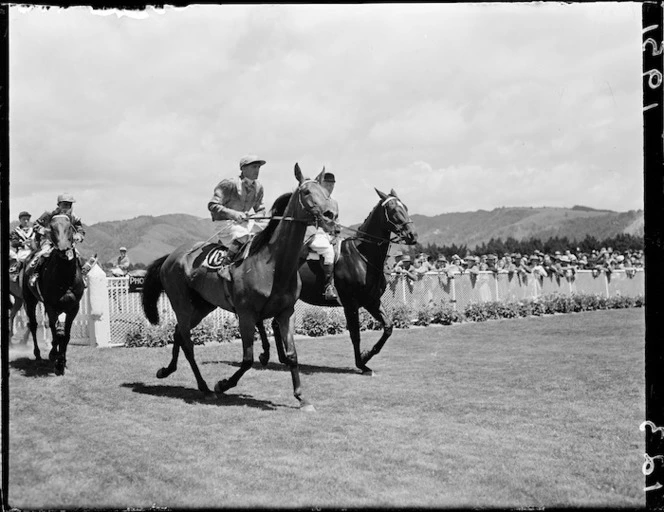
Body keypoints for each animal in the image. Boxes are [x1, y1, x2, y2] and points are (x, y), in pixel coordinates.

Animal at [22, 214, 85, 374]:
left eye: (69, 227)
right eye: (52, 228)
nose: (63, 249)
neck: (65, 277)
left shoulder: (73, 308)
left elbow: (65, 335)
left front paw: (62, 361)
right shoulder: (51, 305)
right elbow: (58, 332)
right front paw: (57, 360)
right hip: (29, 301)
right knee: (33, 325)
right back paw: (38, 354)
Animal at [140, 162, 338, 410]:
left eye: (326, 192)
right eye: (307, 192)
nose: (332, 216)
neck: (274, 265)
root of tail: (170, 256)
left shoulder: (286, 313)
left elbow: (292, 354)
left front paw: (302, 398)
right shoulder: (246, 314)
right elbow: (247, 359)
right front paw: (222, 384)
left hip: (203, 306)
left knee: (178, 334)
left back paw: (166, 371)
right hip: (182, 304)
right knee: (188, 344)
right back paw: (206, 388)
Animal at [258, 187, 416, 372]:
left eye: (405, 207)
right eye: (392, 209)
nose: (412, 235)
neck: (362, 257)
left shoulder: (372, 301)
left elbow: (388, 327)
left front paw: (367, 355)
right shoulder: (350, 304)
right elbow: (355, 335)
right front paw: (361, 363)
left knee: (275, 325)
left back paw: (282, 358)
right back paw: (266, 355)